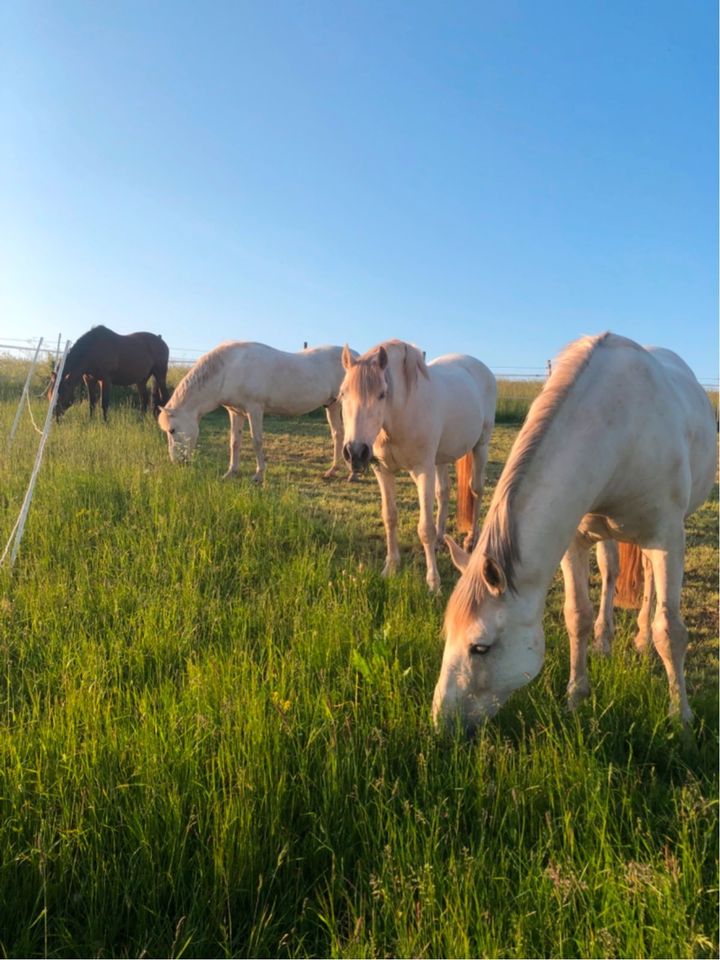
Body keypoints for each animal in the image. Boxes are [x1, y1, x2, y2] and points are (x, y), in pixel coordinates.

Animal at [159, 342, 358, 484]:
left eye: (172, 430)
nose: (177, 462)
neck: (228, 369)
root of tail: (356, 356)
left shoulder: (254, 409)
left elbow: (256, 441)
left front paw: (258, 475)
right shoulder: (236, 412)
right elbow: (235, 442)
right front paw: (231, 472)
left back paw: (352, 474)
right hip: (332, 405)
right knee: (338, 434)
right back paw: (332, 471)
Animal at [340, 338, 498, 592]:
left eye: (382, 394)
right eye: (343, 393)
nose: (355, 452)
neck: (400, 412)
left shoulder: (423, 469)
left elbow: (425, 528)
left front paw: (433, 583)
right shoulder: (383, 471)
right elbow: (390, 517)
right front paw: (391, 567)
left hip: (480, 447)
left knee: (476, 490)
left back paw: (471, 539)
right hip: (440, 459)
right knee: (443, 492)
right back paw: (442, 540)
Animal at [434, 332, 716, 736]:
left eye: (480, 647)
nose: (441, 724)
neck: (620, 428)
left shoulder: (667, 539)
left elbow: (670, 630)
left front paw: (682, 720)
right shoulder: (575, 542)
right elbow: (576, 616)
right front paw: (575, 698)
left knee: (648, 582)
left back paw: (641, 640)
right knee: (612, 573)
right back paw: (605, 641)